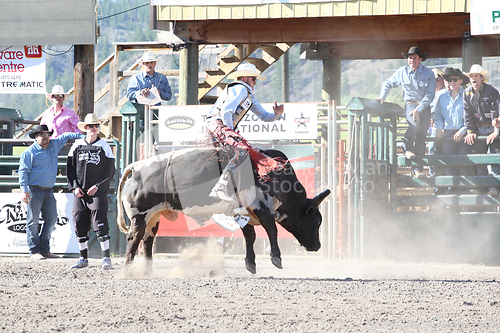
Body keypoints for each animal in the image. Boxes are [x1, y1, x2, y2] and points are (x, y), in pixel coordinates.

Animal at [115, 147, 330, 274]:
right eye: (317, 221)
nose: (318, 246)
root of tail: (137, 167)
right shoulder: (259, 205)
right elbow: (271, 228)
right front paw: (276, 257)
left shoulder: (244, 211)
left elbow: (250, 236)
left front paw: (250, 263)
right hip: (140, 216)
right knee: (134, 239)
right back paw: (128, 271)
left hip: (154, 216)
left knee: (147, 240)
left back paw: (147, 271)